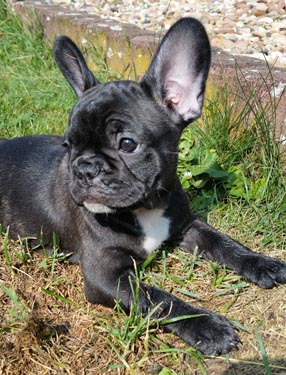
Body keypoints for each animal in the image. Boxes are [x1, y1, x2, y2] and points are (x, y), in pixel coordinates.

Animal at [0, 18, 286, 358]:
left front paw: (262, 263)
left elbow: (223, 242)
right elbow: (159, 300)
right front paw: (207, 326)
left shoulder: (186, 225)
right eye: (68, 146)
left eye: (127, 144)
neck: (144, 208)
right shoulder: (105, 276)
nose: (84, 169)